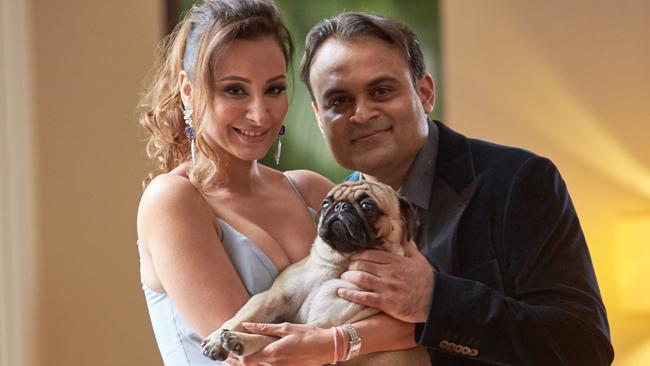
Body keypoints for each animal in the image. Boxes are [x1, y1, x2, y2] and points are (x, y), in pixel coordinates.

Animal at [197, 182, 430, 364]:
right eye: (326, 203)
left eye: (367, 206)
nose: (340, 206)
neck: (340, 264)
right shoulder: (273, 296)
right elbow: (242, 317)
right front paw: (217, 339)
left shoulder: (319, 326)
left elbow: (274, 336)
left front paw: (243, 340)